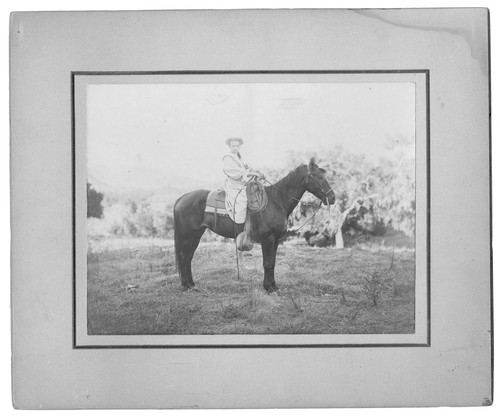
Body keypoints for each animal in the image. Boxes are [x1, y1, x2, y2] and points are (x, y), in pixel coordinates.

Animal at [174, 159, 334, 294]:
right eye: (318, 177)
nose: (332, 198)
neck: (276, 201)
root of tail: (182, 198)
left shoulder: (276, 240)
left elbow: (273, 263)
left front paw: (274, 286)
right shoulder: (268, 240)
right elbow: (267, 263)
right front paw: (268, 288)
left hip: (196, 235)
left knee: (188, 257)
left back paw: (192, 285)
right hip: (188, 235)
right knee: (184, 256)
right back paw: (186, 285)